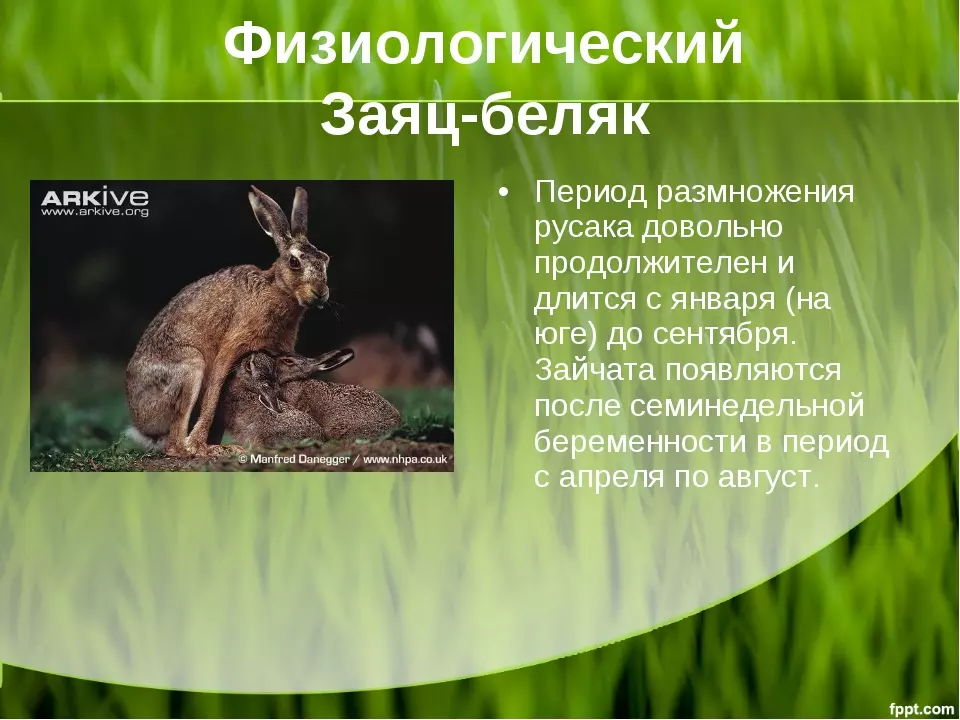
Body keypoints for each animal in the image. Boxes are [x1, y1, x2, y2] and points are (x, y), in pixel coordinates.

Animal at [124, 185, 331, 458]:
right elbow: (213, 395)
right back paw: (212, 449)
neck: (277, 289)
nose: (321, 293)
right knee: (174, 445)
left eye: (326, 259)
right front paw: (200, 446)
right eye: (294, 262)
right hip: (189, 368)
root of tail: (142, 424)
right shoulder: (232, 346)